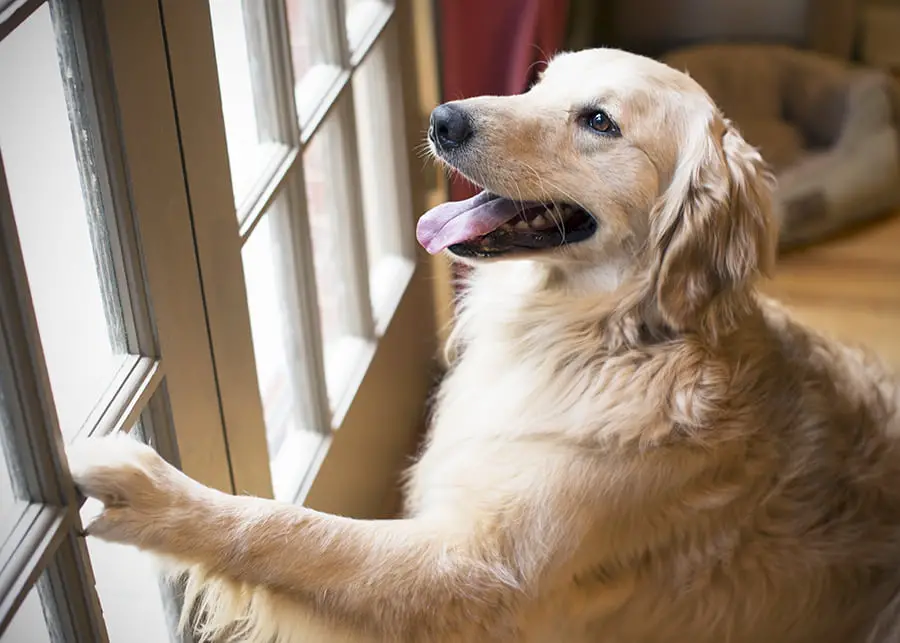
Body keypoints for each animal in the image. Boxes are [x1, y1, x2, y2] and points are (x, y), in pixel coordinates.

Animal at [72, 47, 900, 640]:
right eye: (539, 81)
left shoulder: (475, 576)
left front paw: (150, 491)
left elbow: (290, 528)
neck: (608, 339)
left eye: (599, 121)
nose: (443, 118)